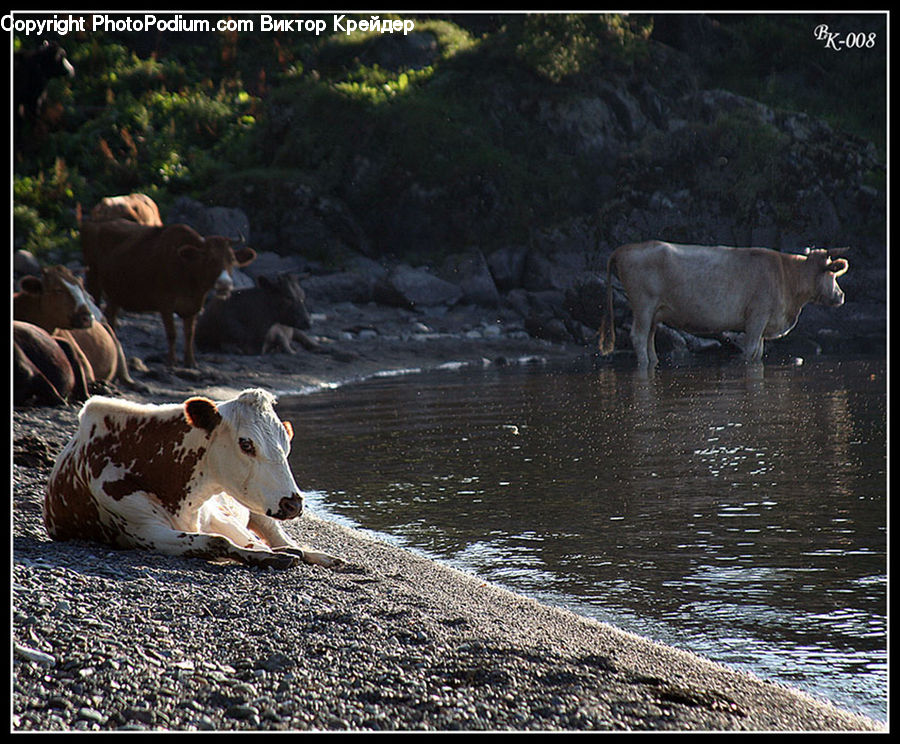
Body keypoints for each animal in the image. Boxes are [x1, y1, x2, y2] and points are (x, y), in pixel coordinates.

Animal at [44, 388, 343, 570]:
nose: (294, 503)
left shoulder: (216, 516)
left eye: (286, 442)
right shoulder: (142, 530)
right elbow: (217, 542)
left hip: (256, 512)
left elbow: (248, 539)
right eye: (246, 443)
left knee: (281, 536)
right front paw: (267, 557)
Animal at [81, 219, 256, 367]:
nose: (225, 283)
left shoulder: (193, 306)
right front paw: (171, 361)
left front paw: (190, 362)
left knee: (110, 315)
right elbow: (172, 333)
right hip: (93, 279)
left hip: (116, 294)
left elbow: (189, 334)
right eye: (210, 259)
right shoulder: (165, 303)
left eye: (232, 259)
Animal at [598, 241, 849, 369]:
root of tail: (623, 249)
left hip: (654, 311)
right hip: (643, 304)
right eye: (833, 274)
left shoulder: (762, 323)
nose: (841, 295)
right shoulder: (757, 316)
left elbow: (758, 352)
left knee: (649, 338)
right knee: (639, 337)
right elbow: (750, 352)